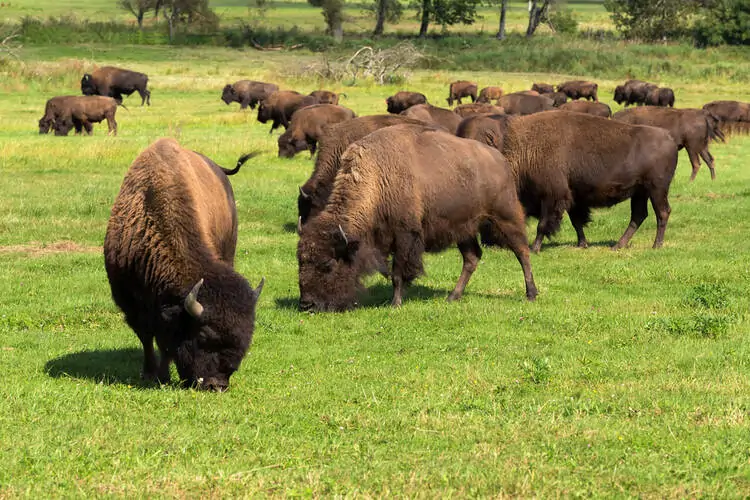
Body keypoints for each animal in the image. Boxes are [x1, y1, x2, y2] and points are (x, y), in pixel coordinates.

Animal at [104, 138, 264, 391]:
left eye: (246, 339)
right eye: (203, 336)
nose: (216, 385)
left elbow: (164, 343)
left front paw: (163, 374)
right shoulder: (131, 302)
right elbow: (147, 336)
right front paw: (151, 374)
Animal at [297, 124, 538, 312]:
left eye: (328, 264)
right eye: (300, 260)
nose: (307, 305)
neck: (377, 178)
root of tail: (500, 160)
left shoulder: (405, 235)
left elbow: (397, 272)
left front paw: (395, 303)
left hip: (505, 217)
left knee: (522, 251)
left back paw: (531, 293)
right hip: (463, 230)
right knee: (472, 257)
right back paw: (452, 296)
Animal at [456, 111, 679, 251]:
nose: (489, 243)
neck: (528, 151)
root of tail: (670, 138)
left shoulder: (552, 196)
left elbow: (543, 224)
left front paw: (535, 248)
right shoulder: (571, 197)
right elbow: (576, 220)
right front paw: (582, 244)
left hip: (656, 189)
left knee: (662, 212)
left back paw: (656, 245)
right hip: (640, 192)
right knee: (639, 215)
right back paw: (618, 245)